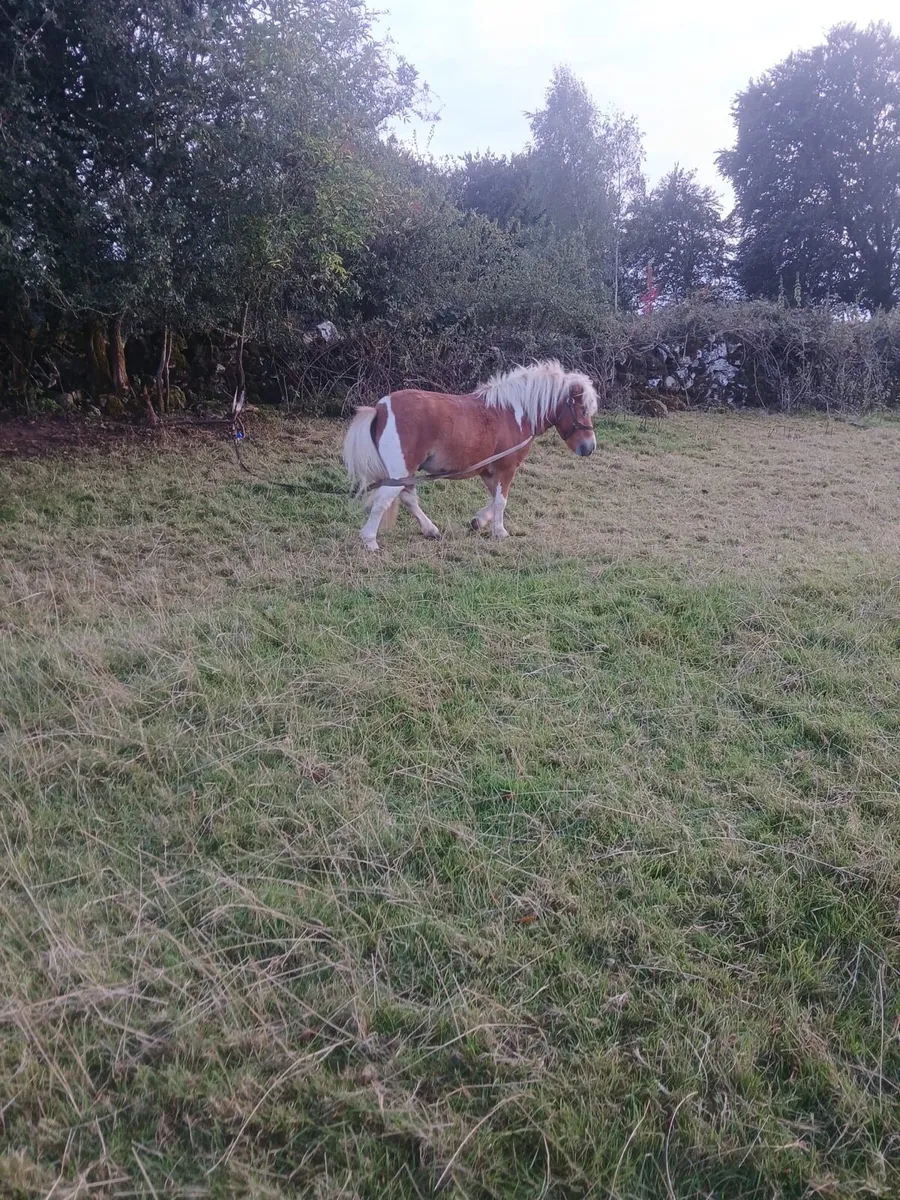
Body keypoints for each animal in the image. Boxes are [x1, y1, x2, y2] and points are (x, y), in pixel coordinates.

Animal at [342, 360, 598, 551]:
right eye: (583, 409)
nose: (590, 447)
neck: (514, 414)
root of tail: (381, 409)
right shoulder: (506, 468)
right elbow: (501, 500)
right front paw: (499, 531)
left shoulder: (489, 470)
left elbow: (494, 499)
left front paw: (479, 521)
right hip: (401, 471)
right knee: (382, 501)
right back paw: (369, 540)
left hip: (406, 473)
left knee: (408, 499)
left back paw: (430, 529)